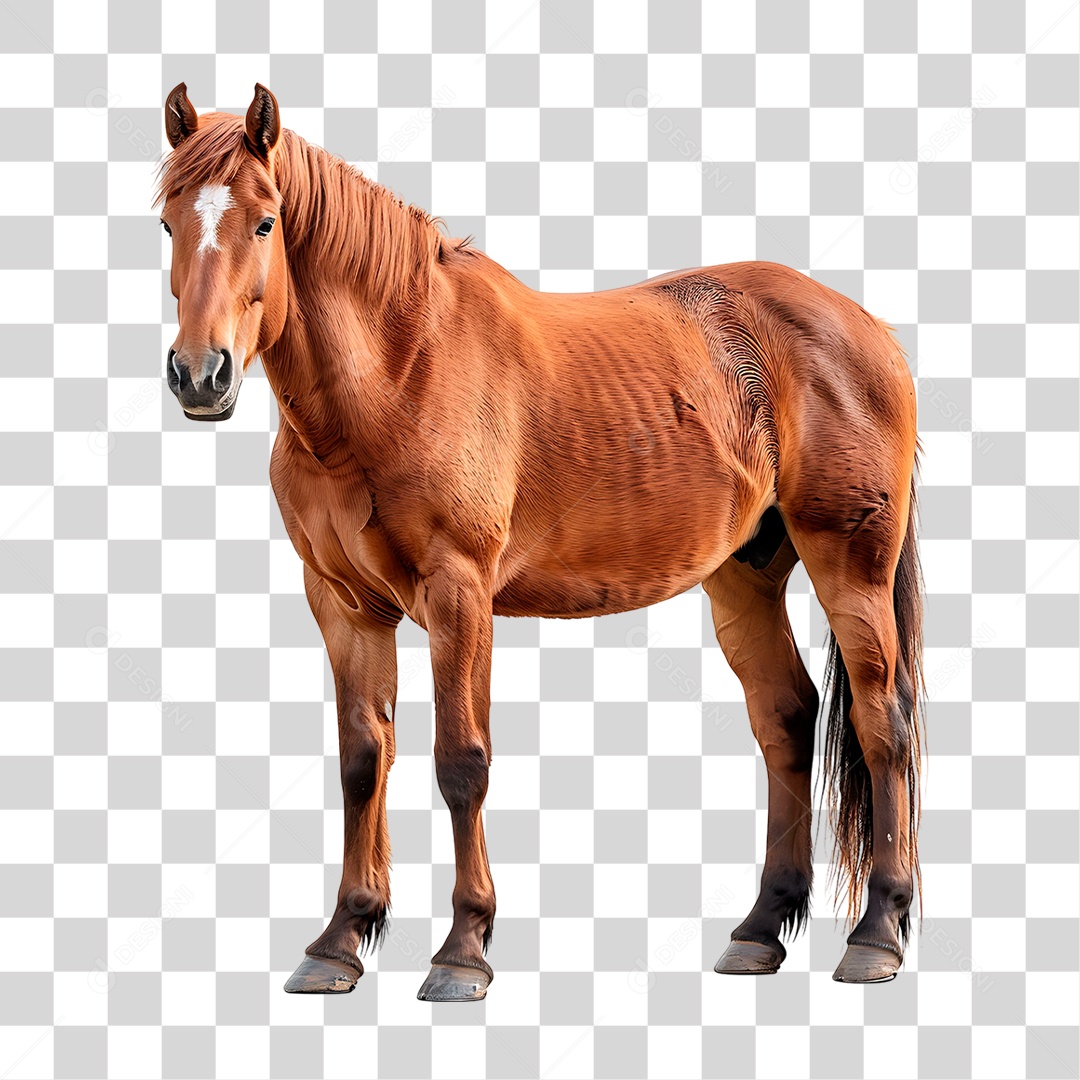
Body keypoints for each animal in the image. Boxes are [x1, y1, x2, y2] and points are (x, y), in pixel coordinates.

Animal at [156, 82, 924, 999]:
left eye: (267, 222)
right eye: (166, 222)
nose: (199, 375)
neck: (399, 369)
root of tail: (868, 328)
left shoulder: (458, 594)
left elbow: (461, 762)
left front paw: (462, 949)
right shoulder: (344, 607)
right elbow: (361, 761)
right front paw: (340, 941)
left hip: (852, 566)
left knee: (883, 724)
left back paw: (876, 934)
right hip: (744, 575)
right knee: (787, 718)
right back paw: (760, 929)